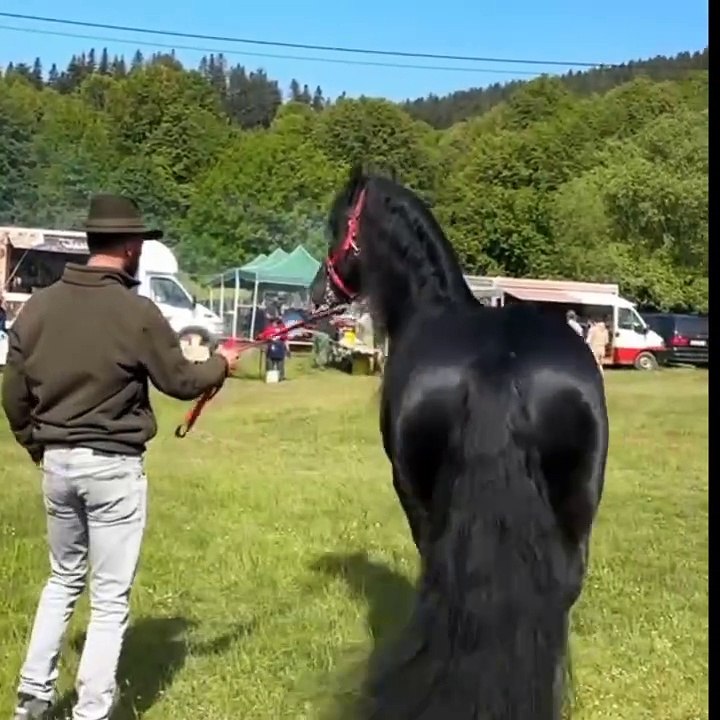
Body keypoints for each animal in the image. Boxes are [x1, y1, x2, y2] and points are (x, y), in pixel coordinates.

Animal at [309, 166, 609, 720]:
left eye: (336, 228)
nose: (319, 293)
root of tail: (499, 364)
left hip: (422, 497)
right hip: (578, 504)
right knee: (561, 589)